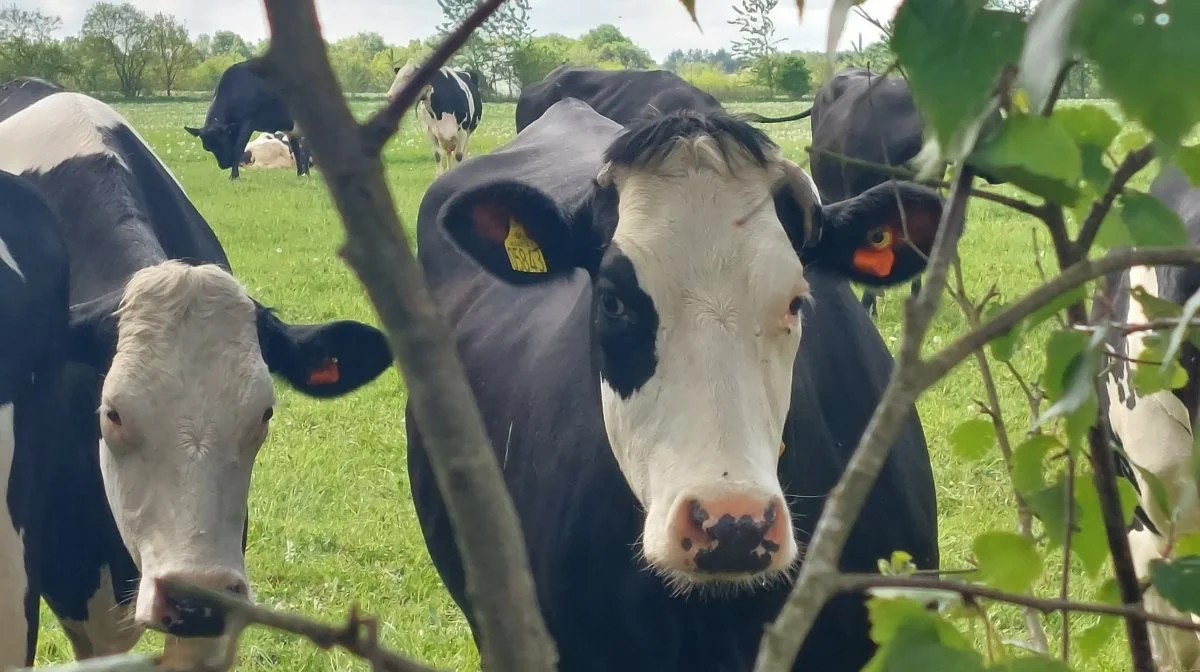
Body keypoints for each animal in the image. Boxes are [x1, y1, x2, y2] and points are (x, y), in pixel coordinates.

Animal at [184, 60, 312, 180]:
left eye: (222, 142)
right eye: (207, 148)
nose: (223, 165)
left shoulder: (247, 123)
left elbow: (238, 148)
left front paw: (234, 176)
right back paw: (301, 174)